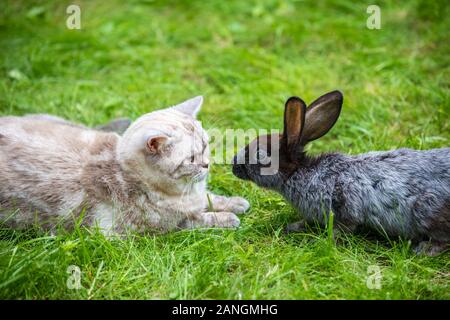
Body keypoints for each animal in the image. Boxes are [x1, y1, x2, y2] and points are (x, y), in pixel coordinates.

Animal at [0, 97, 250, 235]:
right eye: (190, 159)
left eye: (206, 145)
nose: (207, 165)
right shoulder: (161, 228)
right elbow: (199, 219)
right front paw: (228, 218)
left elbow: (211, 198)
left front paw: (236, 202)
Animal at [234, 91, 448, 256]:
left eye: (260, 154)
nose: (234, 166)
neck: (298, 173)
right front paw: (294, 226)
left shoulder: (344, 206)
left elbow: (343, 228)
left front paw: (322, 242)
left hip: (427, 211)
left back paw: (424, 249)